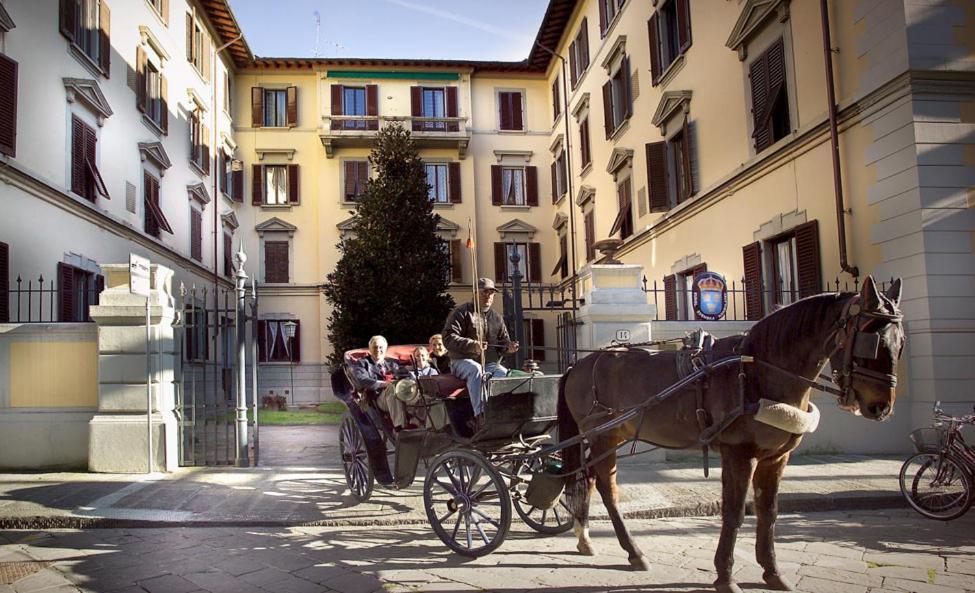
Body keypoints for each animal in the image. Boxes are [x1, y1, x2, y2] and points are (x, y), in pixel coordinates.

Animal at [556, 276, 908, 592]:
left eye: (901, 342)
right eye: (872, 341)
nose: (881, 406)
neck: (758, 370)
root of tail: (578, 364)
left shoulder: (776, 457)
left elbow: (768, 513)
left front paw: (772, 572)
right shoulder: (739, 453)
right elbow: (734, 513)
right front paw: (725, 576)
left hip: (607, 437)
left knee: (587, 479)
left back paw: (586, 537)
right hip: (601, 436)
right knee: (607, 488)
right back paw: (633, 550)